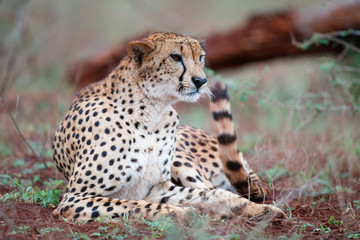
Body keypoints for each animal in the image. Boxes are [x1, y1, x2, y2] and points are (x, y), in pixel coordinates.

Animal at [52, 32, 284, 223]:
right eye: (175, 57)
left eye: (200, 57)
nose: (201, 80)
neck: (150, 111)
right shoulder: (74, 199)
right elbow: (132, 205)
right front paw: (183, 213)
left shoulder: (158, 188)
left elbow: (212, 194)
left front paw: (258, 210)